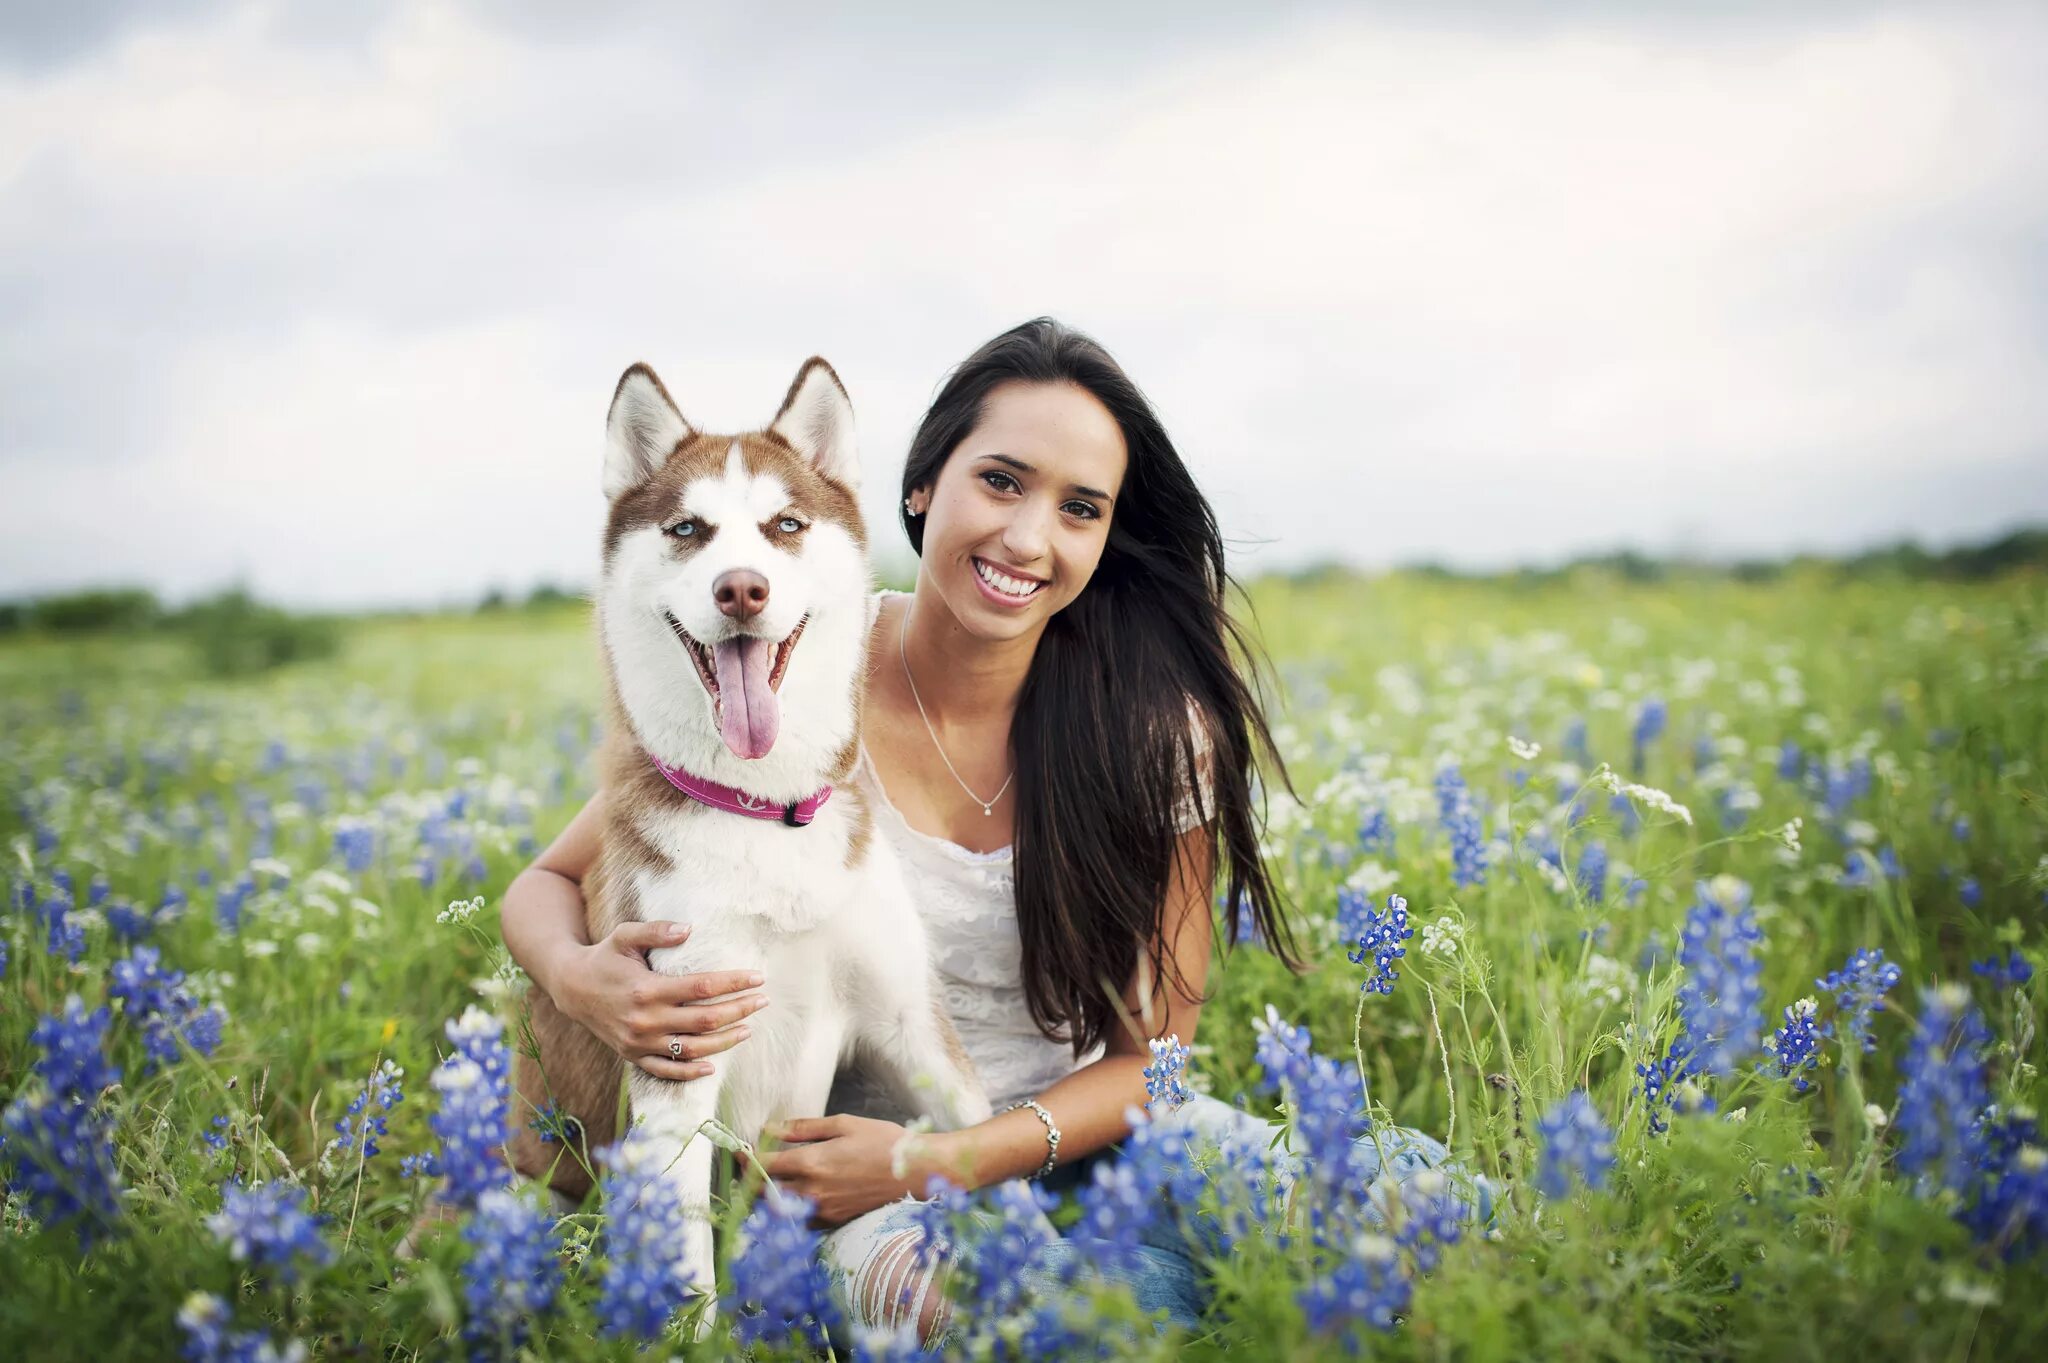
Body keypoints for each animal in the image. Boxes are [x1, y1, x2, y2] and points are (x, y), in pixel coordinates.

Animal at [512, 358, 991, 1317]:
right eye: (688, 529)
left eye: (786, 526)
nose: (741, 587)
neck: (764, 812)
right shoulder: (674, 1060)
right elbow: (691, 1269)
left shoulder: (911, 1020)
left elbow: (987, 1140)